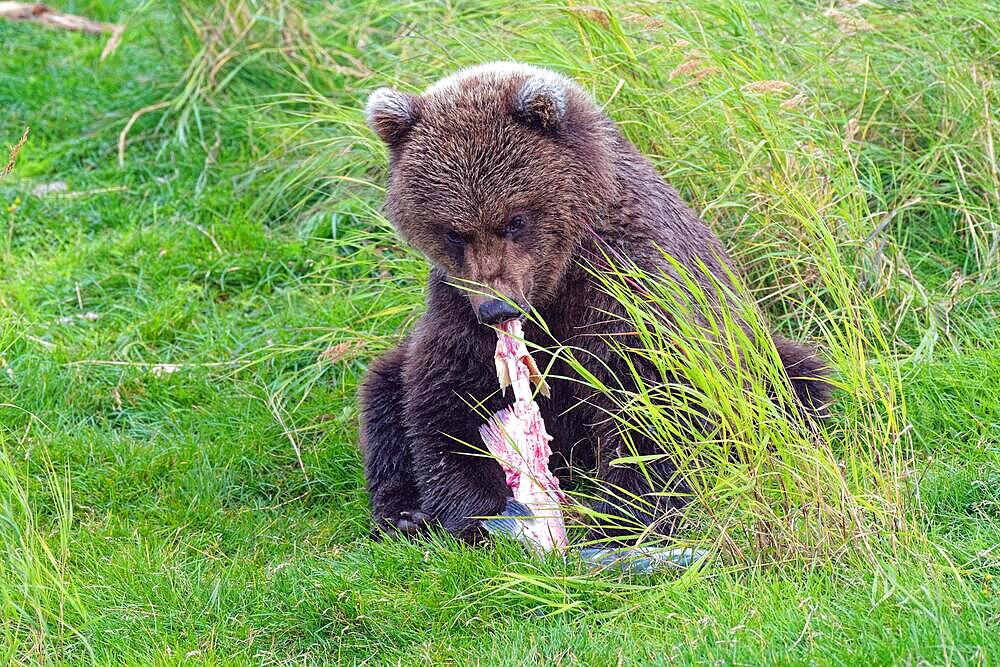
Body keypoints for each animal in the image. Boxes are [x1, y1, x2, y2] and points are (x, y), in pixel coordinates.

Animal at [360, 61, 828, 544]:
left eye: (515, 219)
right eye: (454, 231)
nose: (499, 309)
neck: (556, 279)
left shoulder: (629, 280)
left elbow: (647, 391)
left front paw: (627, 513)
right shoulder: (457, 302)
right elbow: (445, 395)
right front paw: (474, 509)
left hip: (753, 350)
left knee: (796, 382)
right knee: (384, 388)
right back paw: (404, 512)